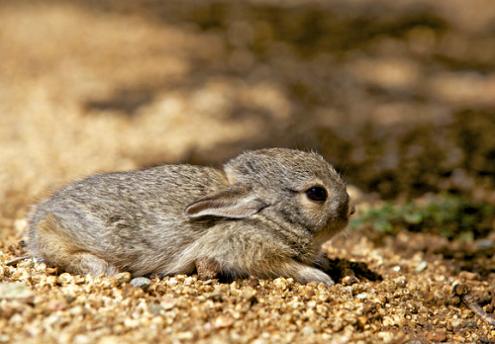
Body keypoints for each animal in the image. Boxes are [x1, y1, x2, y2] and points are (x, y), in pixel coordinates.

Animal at [28, 148, 352, 284]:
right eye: (317, 193)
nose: (350, 209)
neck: (267, 217)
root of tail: (41, 214)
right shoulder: (247, 249)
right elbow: (283, 267)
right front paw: (321, 277)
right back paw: (100, 267)